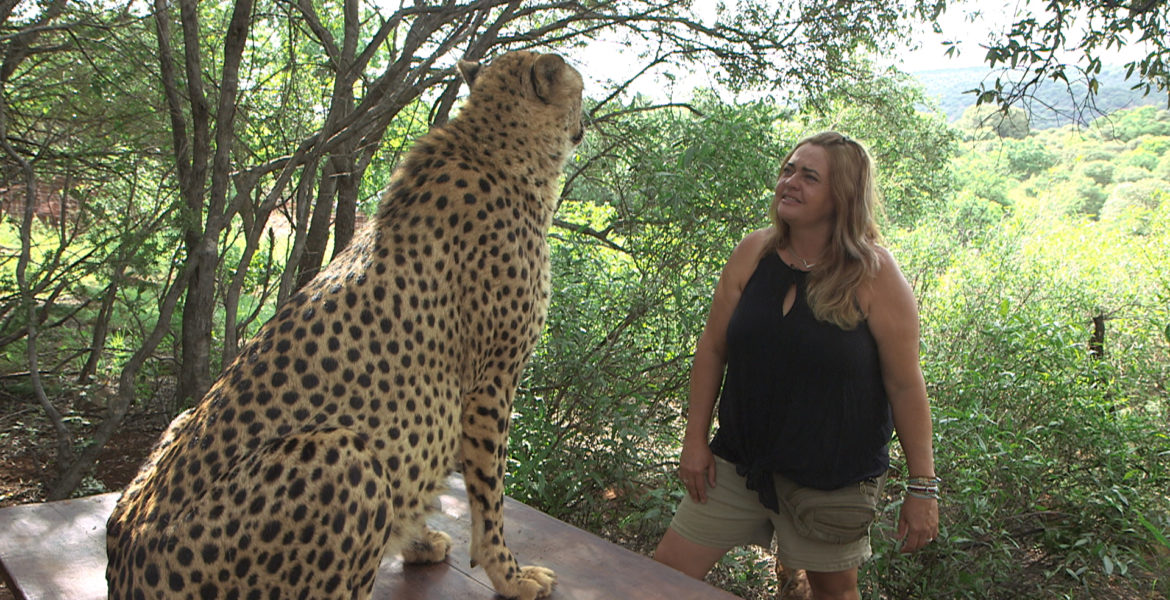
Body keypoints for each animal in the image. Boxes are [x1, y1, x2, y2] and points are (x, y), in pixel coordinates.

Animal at [106, 50, 585, 598]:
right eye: (581, 93)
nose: (586, 121)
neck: (495, 149)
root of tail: (125, 561)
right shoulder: (491, 382)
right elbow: (489, 498)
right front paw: (510, 574)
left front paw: (419, 540)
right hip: (347, 458)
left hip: (184, 418)